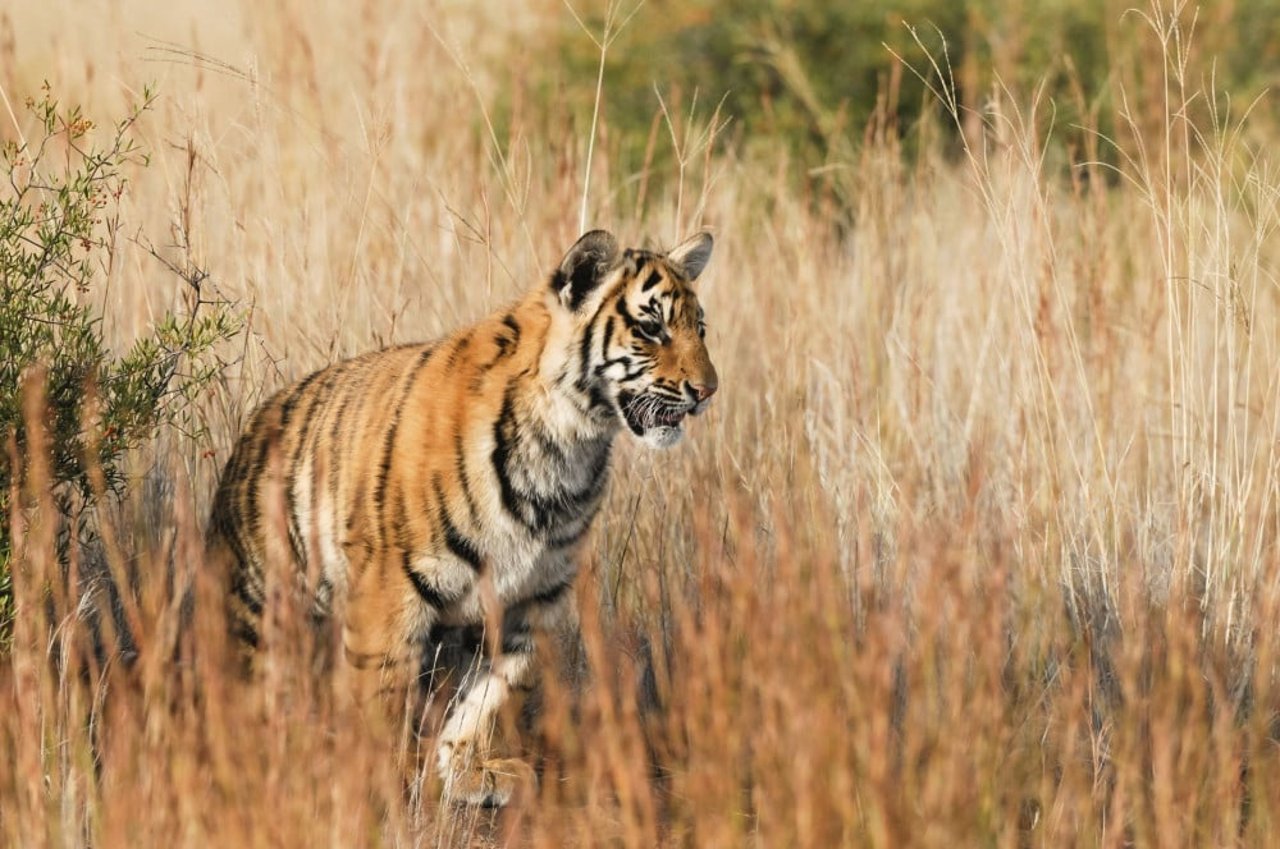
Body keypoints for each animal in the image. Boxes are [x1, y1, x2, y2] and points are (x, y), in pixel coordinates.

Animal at [204, 229, 716, 809]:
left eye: (699, 328)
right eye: (651, 329)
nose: (708, 391)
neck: (571, 445)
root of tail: (254, 426)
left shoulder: (531, 598)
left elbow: (492, 695)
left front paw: (470, 772)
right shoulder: (389, 592)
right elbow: (380, 698)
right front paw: (379, 785)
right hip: (263, 605)